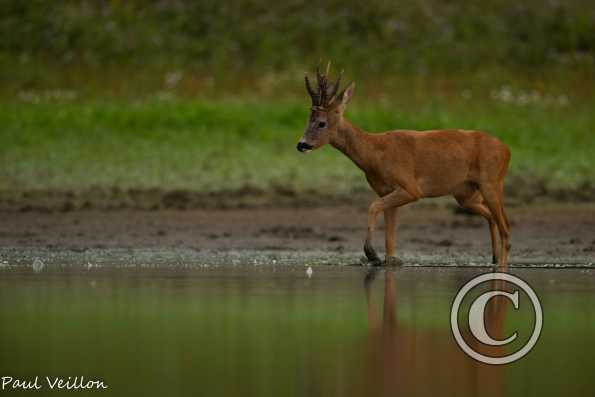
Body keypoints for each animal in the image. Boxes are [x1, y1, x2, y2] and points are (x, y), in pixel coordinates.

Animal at [298, 65, 512, 270]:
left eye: (321, 123)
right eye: (308, 120)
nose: (301, 144)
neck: (375, 154)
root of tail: (506, 149)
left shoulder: (410, 188)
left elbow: (373, 206)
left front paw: (371, 254)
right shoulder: (385, 190)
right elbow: (390, 241)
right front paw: (385, 259)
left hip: (491, 182)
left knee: (506, 228)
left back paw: (501, 264)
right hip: (466, 194)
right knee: (492, 218)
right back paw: (493, 259)